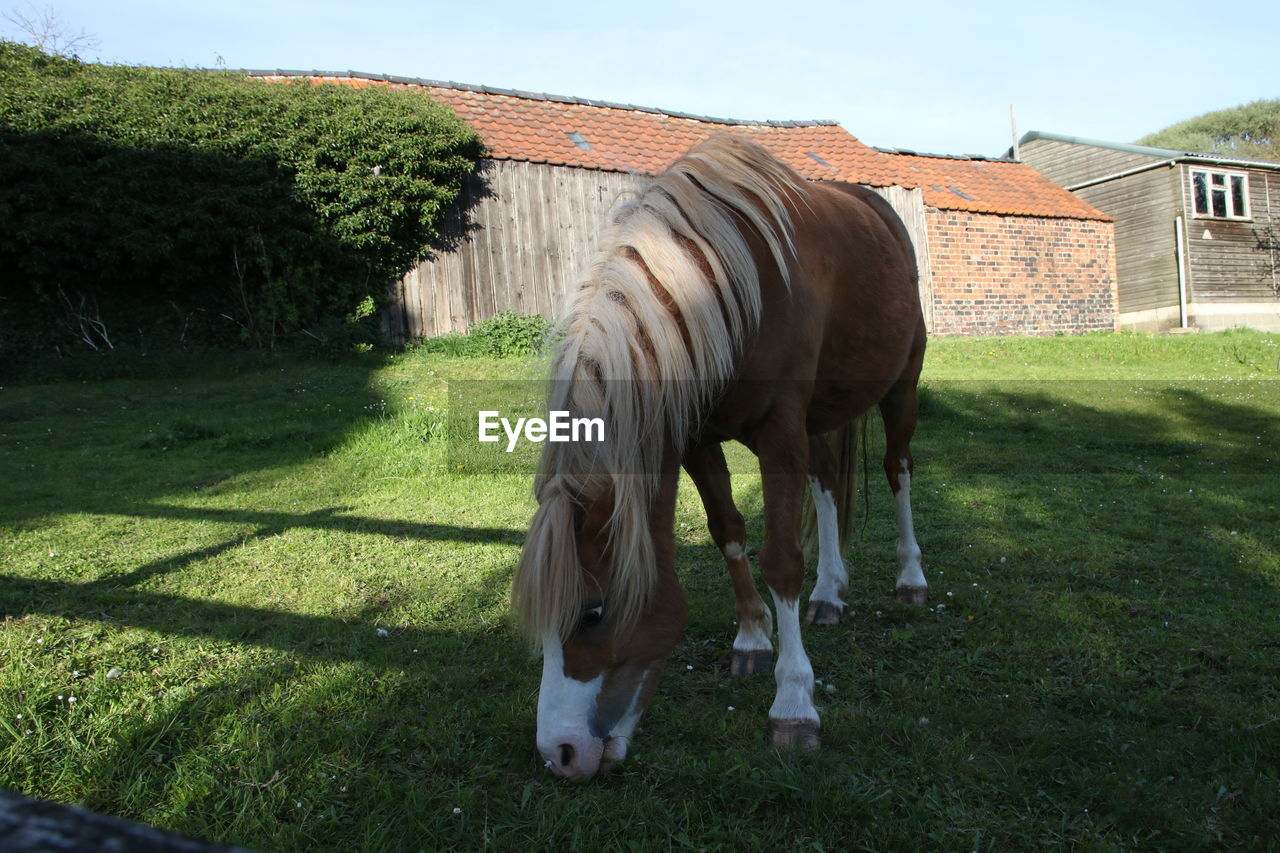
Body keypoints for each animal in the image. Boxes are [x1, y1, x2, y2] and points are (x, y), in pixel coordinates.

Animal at [512, 133, 931, 778]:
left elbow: (781, 559)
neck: (712, 285)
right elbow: (728, 531)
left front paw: (793, 706)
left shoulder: (780, 430)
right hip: (820, 417)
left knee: (898, 471)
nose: (560, 755)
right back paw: (830, 592)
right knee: (826, 484)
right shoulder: (695, 438)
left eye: (593, 613)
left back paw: (911, 578)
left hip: (900, 388)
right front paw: (753, 638)